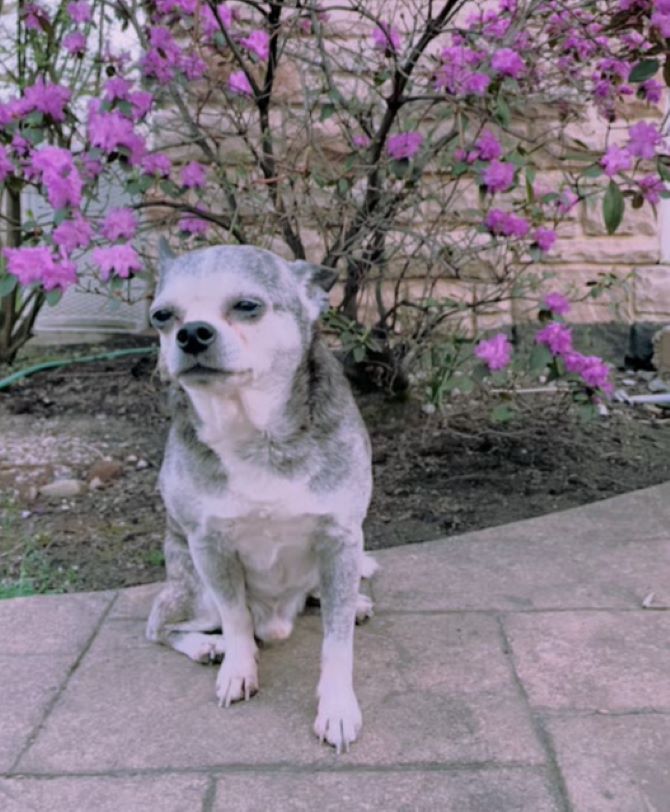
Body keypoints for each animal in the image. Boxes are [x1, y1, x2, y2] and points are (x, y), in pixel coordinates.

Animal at [148, 243, 378, 756]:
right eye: (162, 316)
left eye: (247, 306)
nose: (191, 334)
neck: (256, 434)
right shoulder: (210, 546)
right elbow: (234, 618)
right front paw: (238, 670)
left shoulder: (341, 538)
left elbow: (336, 642)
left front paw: (337, 707)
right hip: (193, 591)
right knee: (159, 626)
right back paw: (204, 647)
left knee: (324, 595)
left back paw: (350, 601)